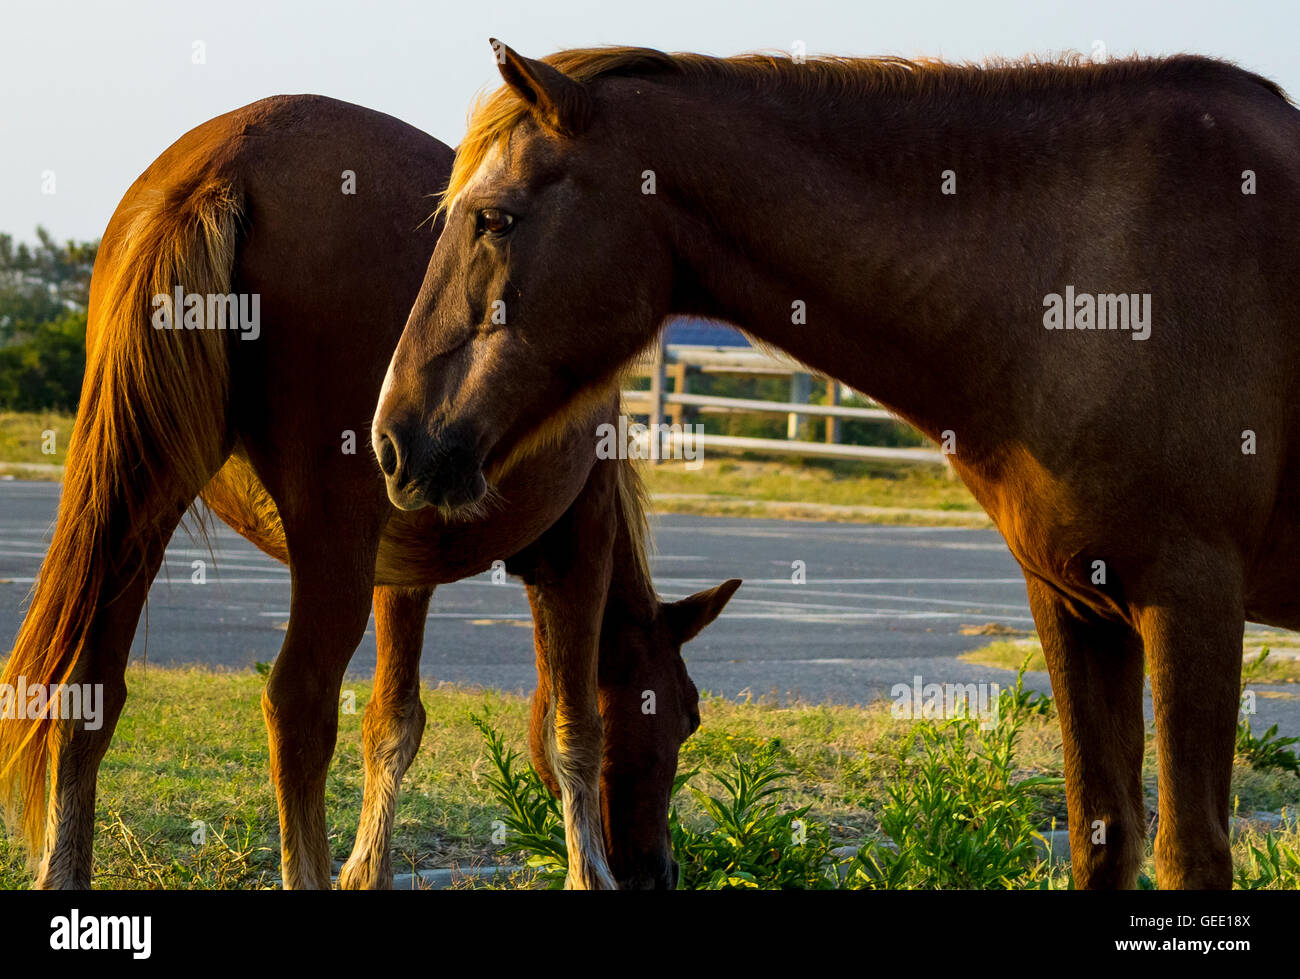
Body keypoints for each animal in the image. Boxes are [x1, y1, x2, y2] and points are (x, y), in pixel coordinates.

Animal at [0, 95, 738, 889]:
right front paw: (588, 872)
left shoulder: (402, 571)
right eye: (687, 714)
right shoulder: (579, 546)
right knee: (297, 703)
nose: (658, 871)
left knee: (92, 685)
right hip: (328, 541)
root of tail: (222, 164)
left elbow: (394, 720)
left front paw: (368, 866)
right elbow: (574, 727)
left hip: (143, 498)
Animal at [371, 43, 1300, 884]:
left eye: (496, 217)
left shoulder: (1189, 604)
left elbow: (1190, 856)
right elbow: (1101, 838)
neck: (1086, 279)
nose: (393, 437)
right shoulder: (1076, 606)